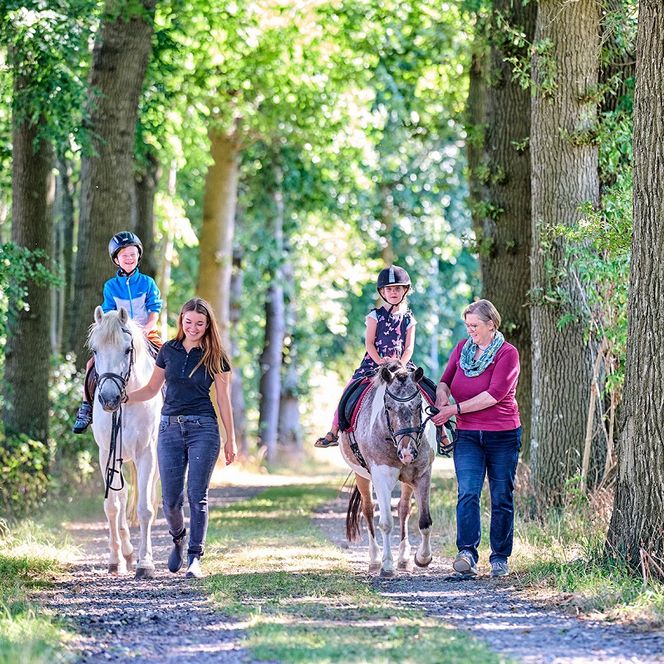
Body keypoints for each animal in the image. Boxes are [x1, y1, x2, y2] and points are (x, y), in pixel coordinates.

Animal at [87, 306, 162, 579]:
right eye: (95, 350)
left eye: (127, 350)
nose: (109, 399)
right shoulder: (105, 453)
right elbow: (112, 505)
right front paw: (115, 560)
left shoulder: (146, 453)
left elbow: (145, 508)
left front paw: (146, 563)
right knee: (123, 496)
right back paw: (127, 553)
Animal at [340, 362, 436, 577]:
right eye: (389, 407)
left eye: (419, 406)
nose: (407, 453)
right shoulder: (381, 477)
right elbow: (385, 523)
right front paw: (386, 565)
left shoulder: (422, 474)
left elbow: (425, 521)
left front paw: (422, 558)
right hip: (361, 476)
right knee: (368, 511)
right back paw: (375, 560)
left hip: (407, 480)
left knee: (403, 510)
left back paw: (404, 559)